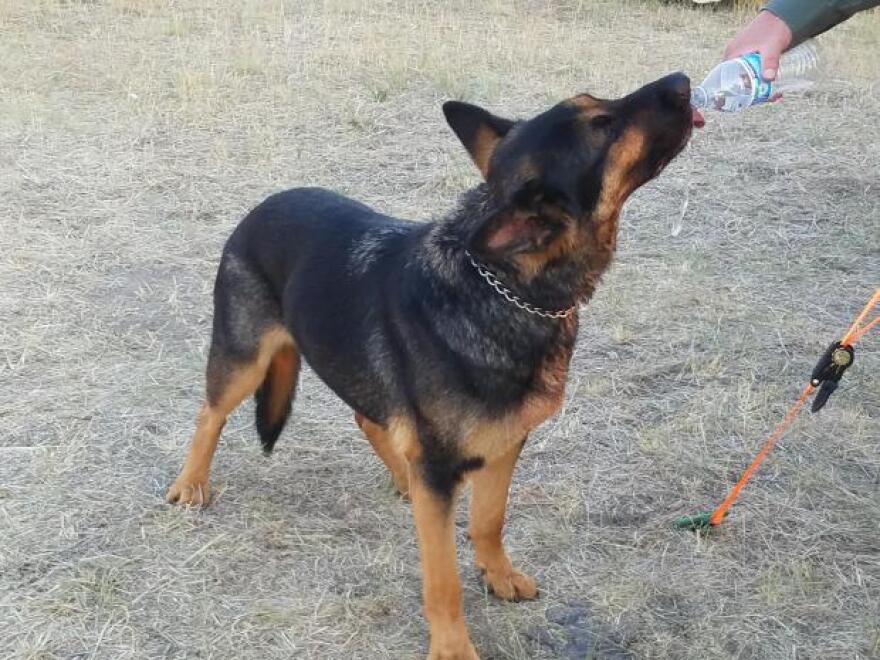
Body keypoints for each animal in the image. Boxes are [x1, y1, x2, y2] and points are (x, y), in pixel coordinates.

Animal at [168, 73, 696, 660]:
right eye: (601, 125)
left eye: (597, 105)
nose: (682, 80)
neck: (501, 286)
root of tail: (263, 205)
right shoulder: (443, 469)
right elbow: (442, 578)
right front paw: (452, 646)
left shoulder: (504, 444)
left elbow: (489, 520)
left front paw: (497, 574)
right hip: (244, 360)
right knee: (210, 413)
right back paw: (191, 483)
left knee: (368, 419)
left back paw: (402, 476)